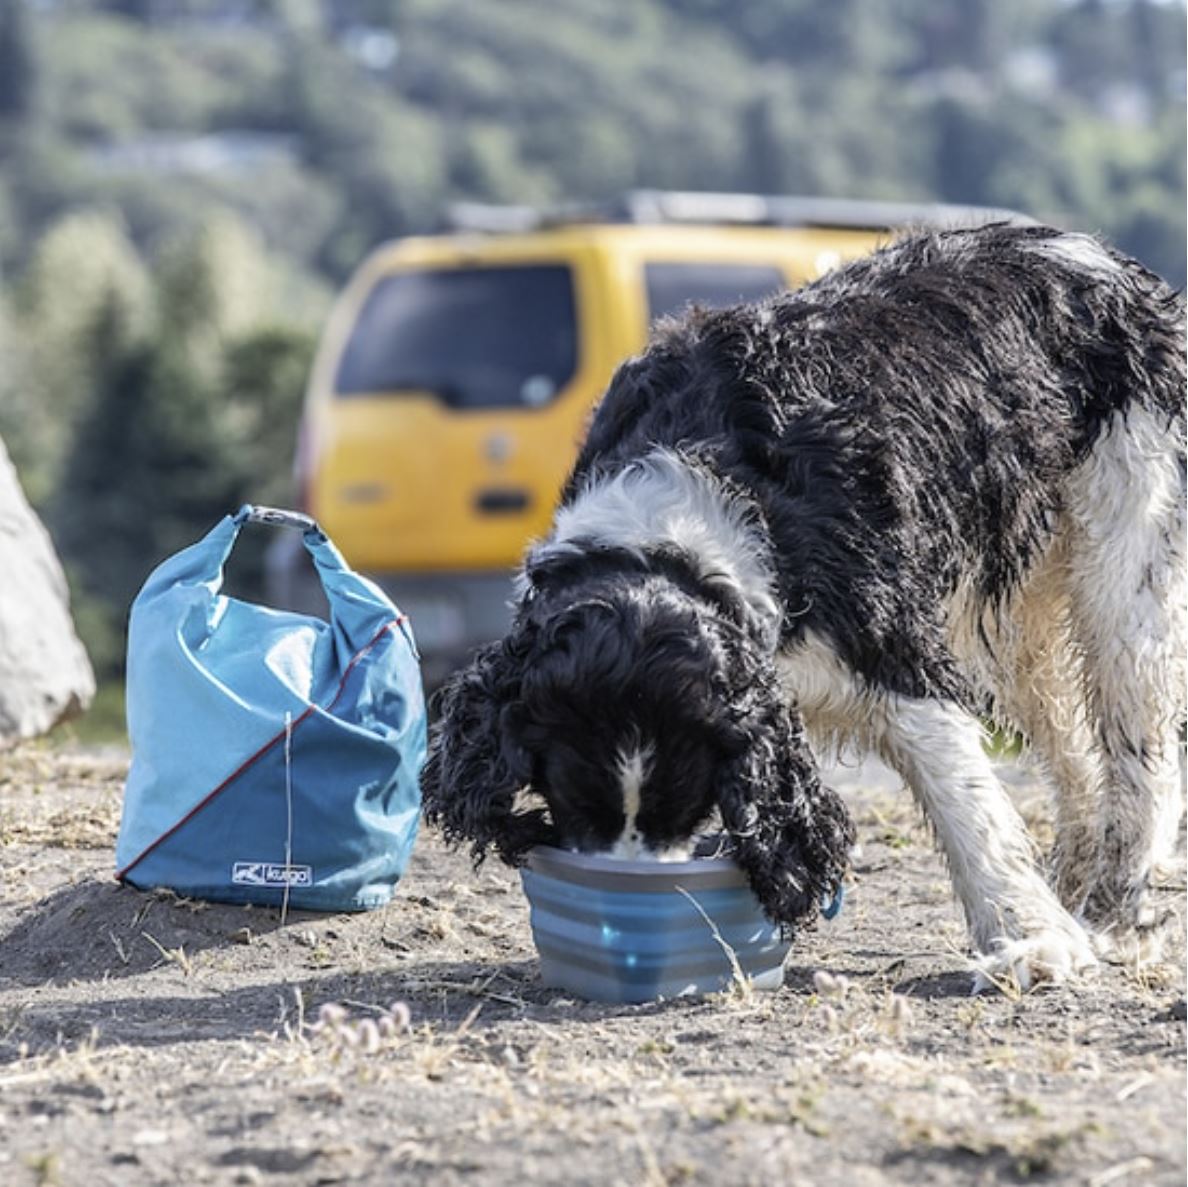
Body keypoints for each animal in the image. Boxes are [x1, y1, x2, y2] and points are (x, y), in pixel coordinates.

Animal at [422, 224, 1183, 993]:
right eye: (576, 808)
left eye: (683, 806)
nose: (628, 898)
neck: (681, 524)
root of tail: (1096, 252)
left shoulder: (895, 653)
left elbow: (967, 802)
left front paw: (1030, 941)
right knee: (1074, 747)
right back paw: (1078, 883)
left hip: (1124, 558)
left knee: (1141, 747)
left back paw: (1117, 909)